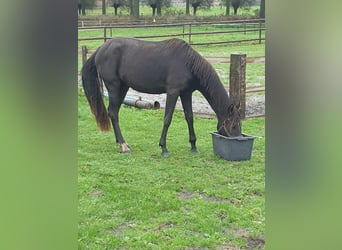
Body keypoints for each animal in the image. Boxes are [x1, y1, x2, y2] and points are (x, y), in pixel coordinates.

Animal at [82, 37, 240, 155]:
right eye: (234, 125)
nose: (238, 138)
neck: (188, 63)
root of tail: (101, 49)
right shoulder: (173, 92)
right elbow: (167, 119)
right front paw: (163, 148)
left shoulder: (186, 93)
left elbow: (189, 117)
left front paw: (193, 146)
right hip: (114, 87)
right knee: (113, 113)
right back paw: (123, 146)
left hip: (123, 88)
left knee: (114, 112)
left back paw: (120, 142)